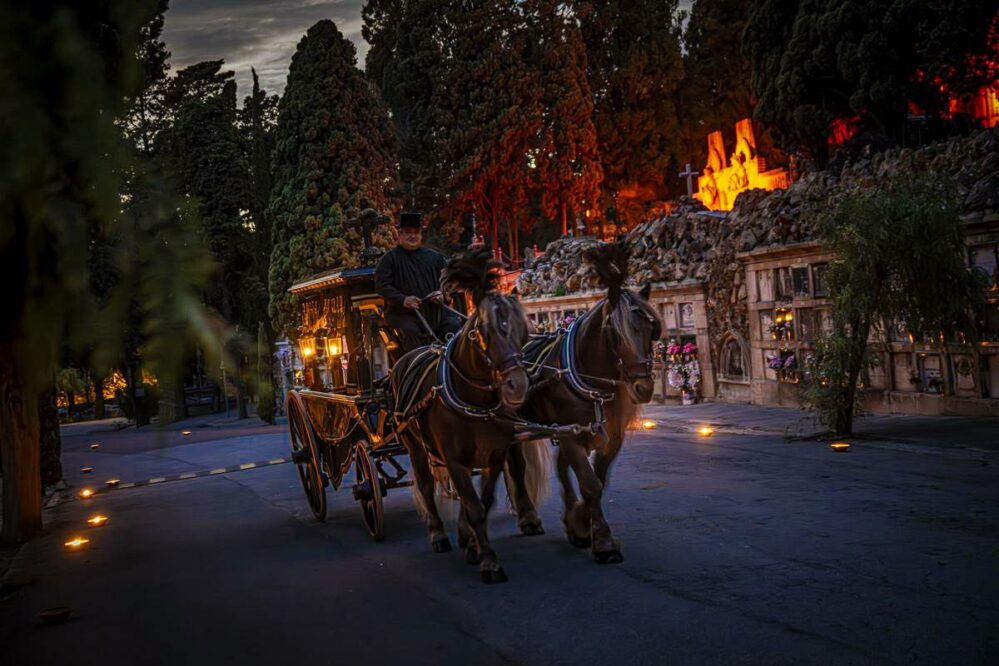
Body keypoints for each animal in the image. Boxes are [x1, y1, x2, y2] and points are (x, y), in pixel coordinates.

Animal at [392, 246, 548, 580]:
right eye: (485, 332)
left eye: (523, 331)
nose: (517, 386)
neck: (473, 398)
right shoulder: (454, 459)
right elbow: (474, 505)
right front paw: (488, 559)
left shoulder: (494, 453)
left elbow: (484, 501)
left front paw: (474, 544)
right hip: (413, 442)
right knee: (425, 483)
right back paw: (438, 533)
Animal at [516, 239, 664, 560]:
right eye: (617, 333)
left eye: (652, 331)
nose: (644, 388)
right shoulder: (571, 435)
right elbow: (590, 483)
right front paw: (603, 541)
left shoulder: (610, 436)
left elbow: (598, 480)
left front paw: (581, 523)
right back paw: (527, 516)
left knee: (559, 466)